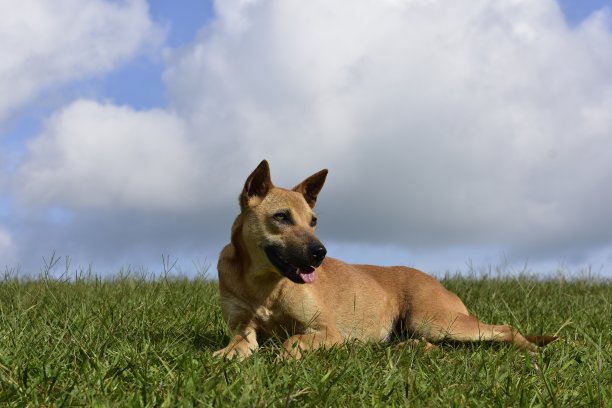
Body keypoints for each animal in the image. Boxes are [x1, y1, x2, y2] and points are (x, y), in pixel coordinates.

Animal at [213, 161, 556, 358]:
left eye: (313, 221)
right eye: (282, 217)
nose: (320, 253)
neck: (264, 285)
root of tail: (438, 283)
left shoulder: (328, 331)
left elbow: (292, 342)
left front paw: (286, 356)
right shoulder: (243, 327)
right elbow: (240, 344)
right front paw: (227, 356)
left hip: (436, 320)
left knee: (506, 328)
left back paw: (530, 350)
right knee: (431, 345)